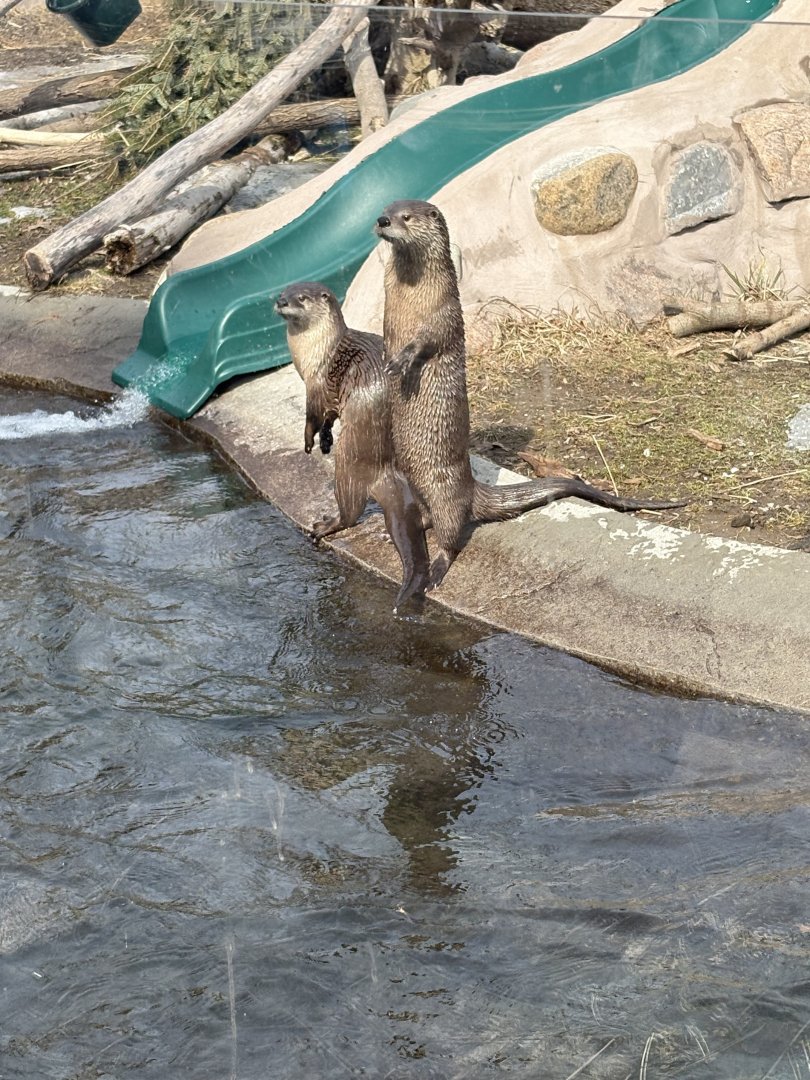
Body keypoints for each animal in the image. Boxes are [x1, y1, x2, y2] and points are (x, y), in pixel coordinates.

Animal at [275, 282, 429, 610]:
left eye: (301, 298)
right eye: (282, 292)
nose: (281, 302)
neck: (315, 353)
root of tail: (389, 469)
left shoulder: (316, 385)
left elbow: (312, 416)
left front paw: (309, 441)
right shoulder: (330, 398)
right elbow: (328, 418)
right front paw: (325, 439)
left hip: (349, 458)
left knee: (351, 509)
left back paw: (324, 525)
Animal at [375, 199, 685, 588]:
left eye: (406, 217)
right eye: (386, 209)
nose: (382, 221)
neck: (412, 294)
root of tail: (471, 489)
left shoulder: (443, 308)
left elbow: (429, 339)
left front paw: (402, 360)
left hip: (442, 488)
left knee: (451, 531)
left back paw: (435, 569)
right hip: (417, 486)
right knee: (430, 517)